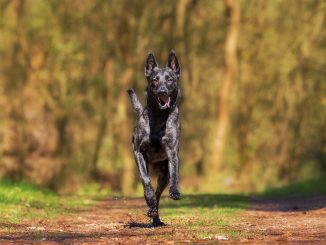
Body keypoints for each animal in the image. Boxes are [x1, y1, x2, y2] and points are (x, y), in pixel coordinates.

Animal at [127, 50, 182, 227]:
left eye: (170, 79)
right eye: (155, 80)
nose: (162, 91)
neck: (159, 117)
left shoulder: (172, 151)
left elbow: (175, 173)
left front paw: (175, 191)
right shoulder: (139, 153)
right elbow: (146, 182)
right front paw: (149, 200)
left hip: (163, 174)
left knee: (159, 193)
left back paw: (156, 218)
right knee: (151, 191)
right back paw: (151, 210)